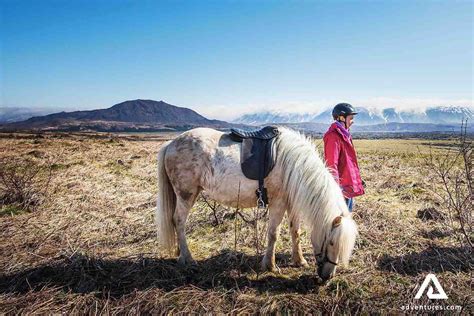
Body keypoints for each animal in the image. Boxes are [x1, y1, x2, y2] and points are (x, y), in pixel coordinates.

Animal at [157, 127, 358, 280]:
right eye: (331, 242)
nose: (327, 276)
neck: (294, 165)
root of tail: (171, 144)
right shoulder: (278, 202)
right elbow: (274, 234)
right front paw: (270, 266)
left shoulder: (292, 203)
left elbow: (295, 232)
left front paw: (299, 261)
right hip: (186, 194)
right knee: (179, 221)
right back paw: (188, 259)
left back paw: (180, 253)